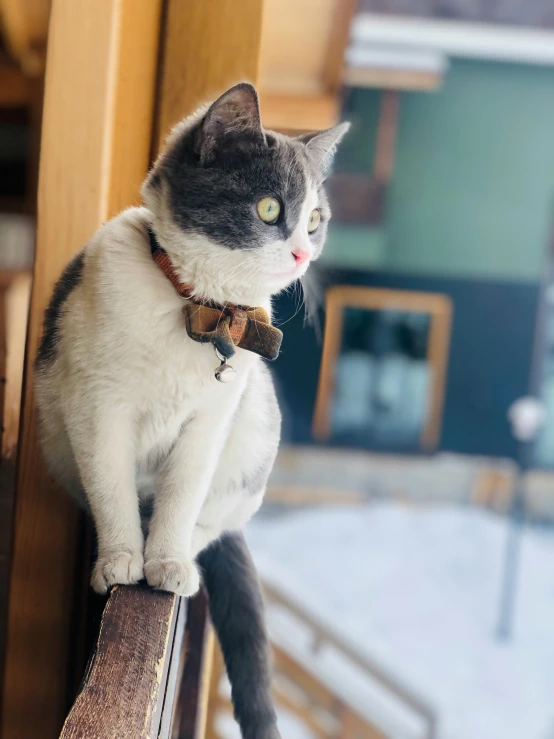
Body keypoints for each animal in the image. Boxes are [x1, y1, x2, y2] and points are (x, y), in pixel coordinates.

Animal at [33, 82, 344, 739]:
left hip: (256, 430)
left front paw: (166, 561)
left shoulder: (212, 419)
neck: (196, 307)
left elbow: (184, 493)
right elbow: (109, 485)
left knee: (216, 518)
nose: (301, 254)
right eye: (270, 209)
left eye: (315, 219)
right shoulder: (96, 403)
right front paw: (121, 559)